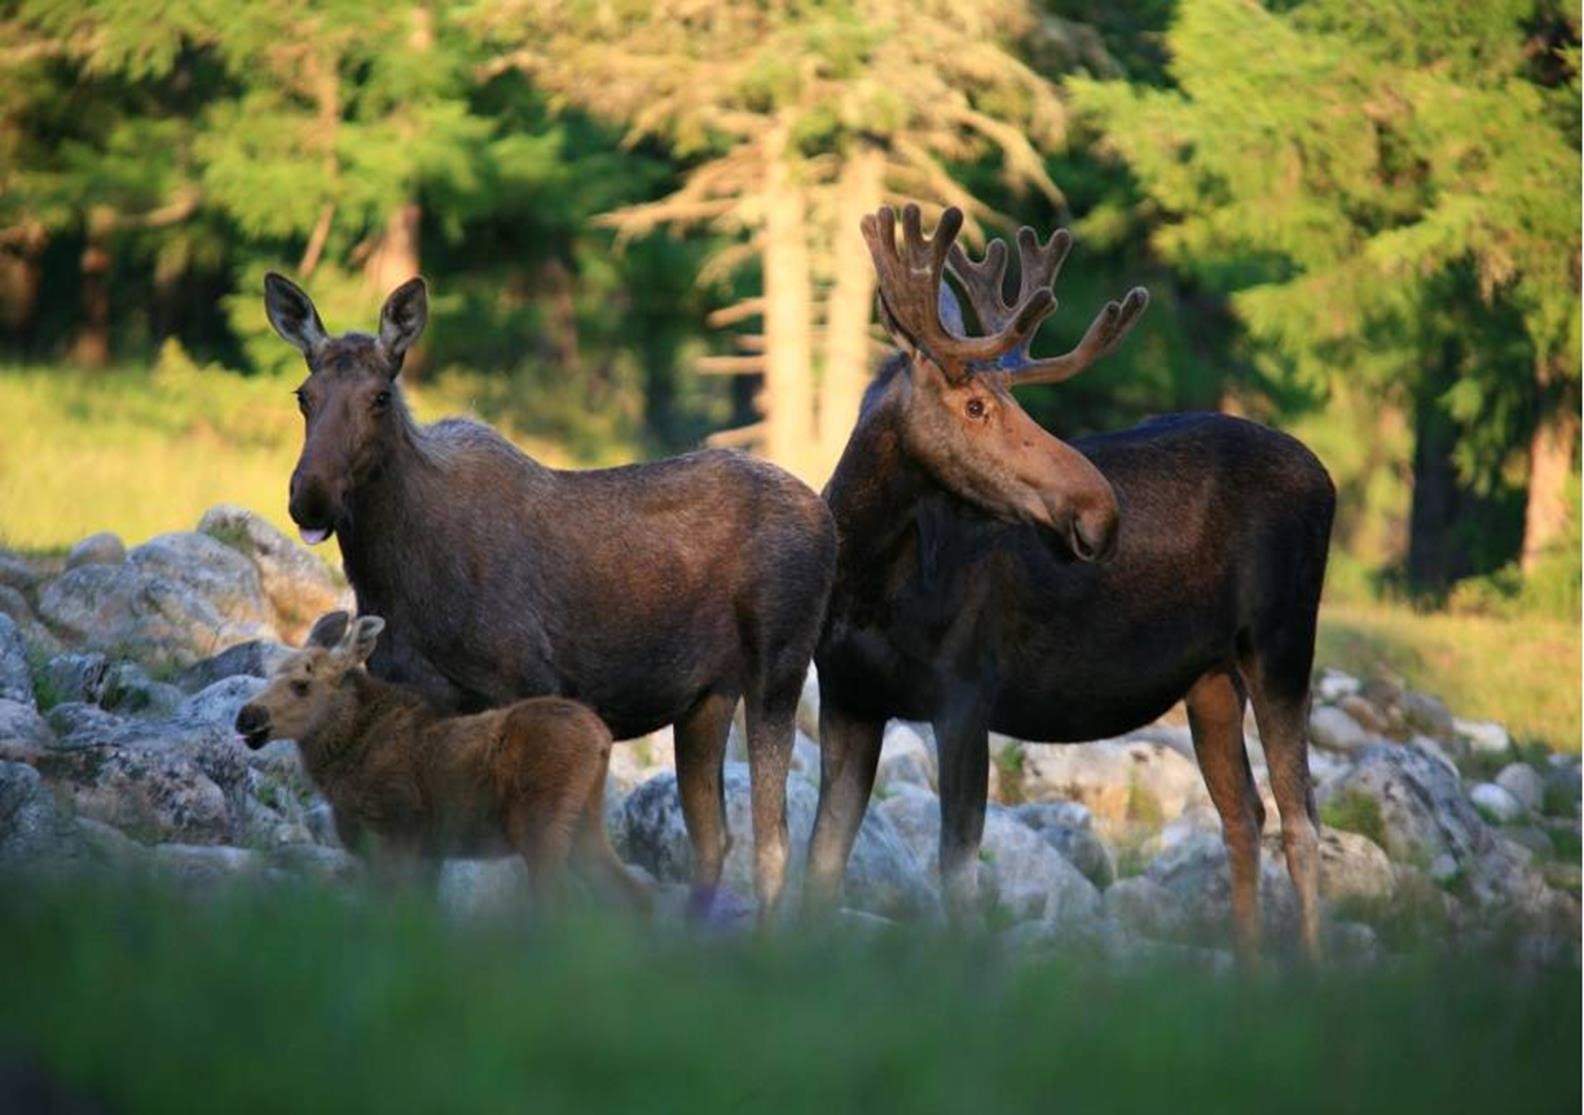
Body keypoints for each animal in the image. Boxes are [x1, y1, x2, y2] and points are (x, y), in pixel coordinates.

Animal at [231, 608, 639, 905]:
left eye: (301, 685)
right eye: (270, 672)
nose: (247, 715)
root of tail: (601, 736)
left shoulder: (395, 828)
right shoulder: (420, 850)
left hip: (540, 823)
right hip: (584, 821)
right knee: (632, 896)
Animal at [804, 207, 1336, 956]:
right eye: (975, 405)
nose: (1099, 509)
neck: (870, 582)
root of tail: (1326, 477)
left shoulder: (966, 692)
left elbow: (959, 875)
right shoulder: (847, 696)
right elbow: (821, 864)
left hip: (1283, 643)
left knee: (1302, 820)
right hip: (1209, 677)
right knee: (1245, 814)